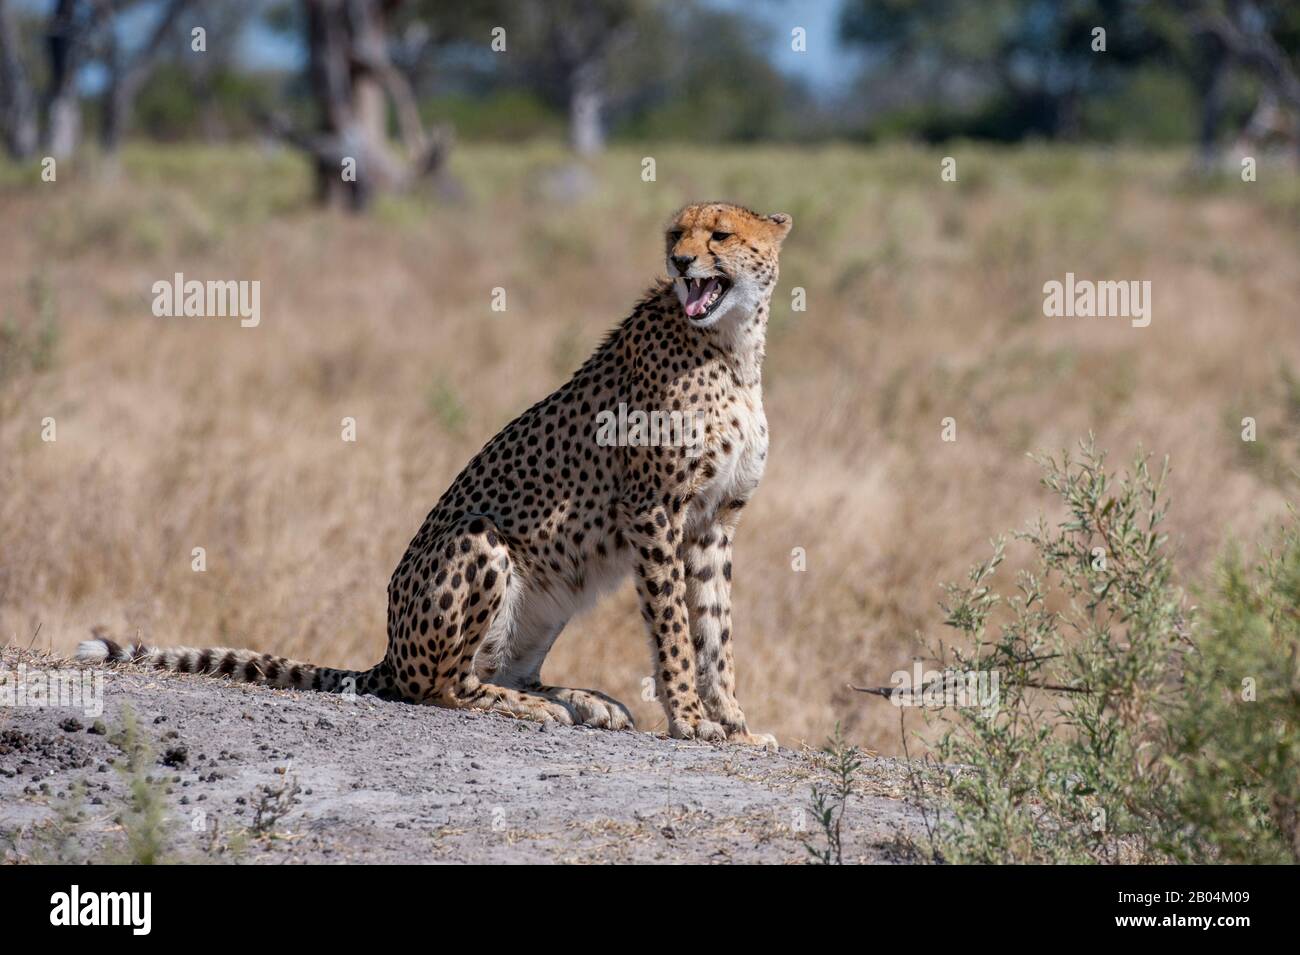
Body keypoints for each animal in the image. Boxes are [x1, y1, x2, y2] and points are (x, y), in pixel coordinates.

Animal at [79, 201, 792, 747]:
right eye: (675, 235)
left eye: (720, 235)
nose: (681, 264)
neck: (730, 345)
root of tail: (389, 650)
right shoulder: (654, 510)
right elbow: (674, 627)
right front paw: (690, 719)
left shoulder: (714, 520)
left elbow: (715, 630)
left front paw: (735, 725)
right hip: (481, 539)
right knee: (443, 685)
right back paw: (545, 707)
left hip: (551, 592)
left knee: (502, 669)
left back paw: (583, 698)